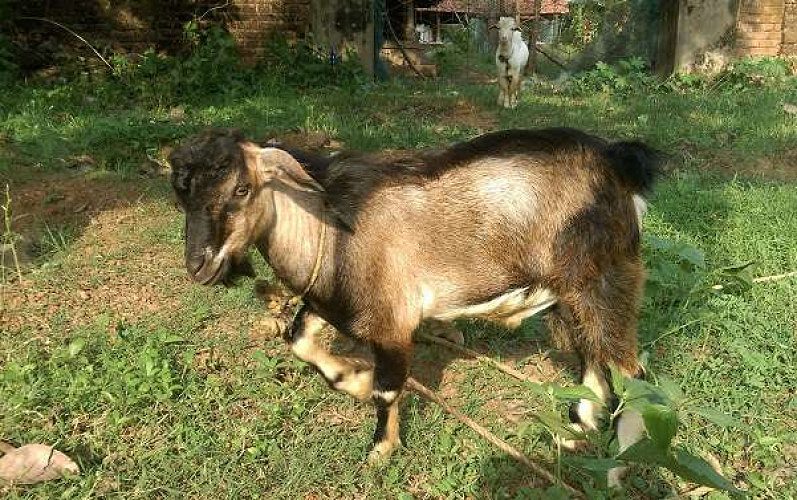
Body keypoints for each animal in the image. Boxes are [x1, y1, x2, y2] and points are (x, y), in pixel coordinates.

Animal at [169, 127, 661, 487]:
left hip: (605, 281)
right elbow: (299, 340)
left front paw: (379, 450)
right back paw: (576, 430)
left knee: (633, 375)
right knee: (592, 359)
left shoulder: (391, 322)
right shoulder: (330, 301)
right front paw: (353, 378)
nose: (199, 266)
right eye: (182, 196)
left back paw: (617, 467)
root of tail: (619, 162)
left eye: (241, 188)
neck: (329, 226)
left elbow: (387, 391)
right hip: (570, 296)